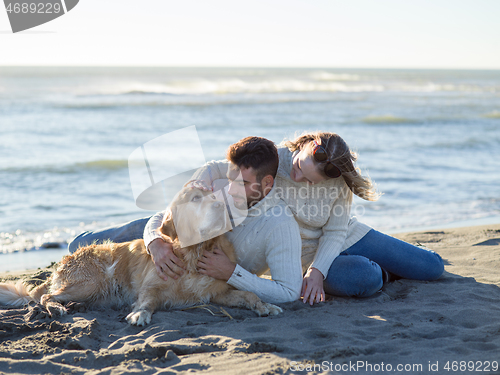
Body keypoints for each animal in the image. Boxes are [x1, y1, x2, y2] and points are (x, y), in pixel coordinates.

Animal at [0, 186, 282, 326]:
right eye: (195, 199)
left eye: (215, 196)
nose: (219, 205)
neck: (195, 251)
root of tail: (62, 264)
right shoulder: (151, 285)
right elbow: (148, 300)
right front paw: (140, 314)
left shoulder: (216, 292)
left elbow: (249, 294)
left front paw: (265, 305)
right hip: (92, 281)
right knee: (45, 296)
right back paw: (58, 307)